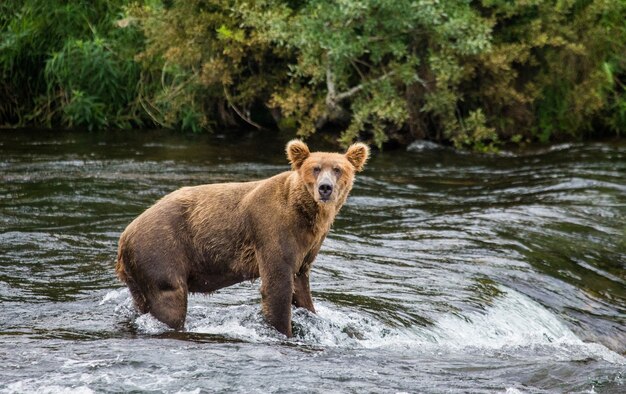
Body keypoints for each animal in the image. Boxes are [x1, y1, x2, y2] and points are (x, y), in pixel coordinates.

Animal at [115, 140, 368, 338]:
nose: (325, 188)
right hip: (161, 251)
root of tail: (124, 235)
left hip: (140, 273)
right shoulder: (273, 230)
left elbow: (301, 286)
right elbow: (277, 287)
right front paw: (284, 331)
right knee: (170, 300)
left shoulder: (306, 247)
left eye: (337, 169)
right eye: (315, 168)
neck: (306, 215)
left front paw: (312, 314)